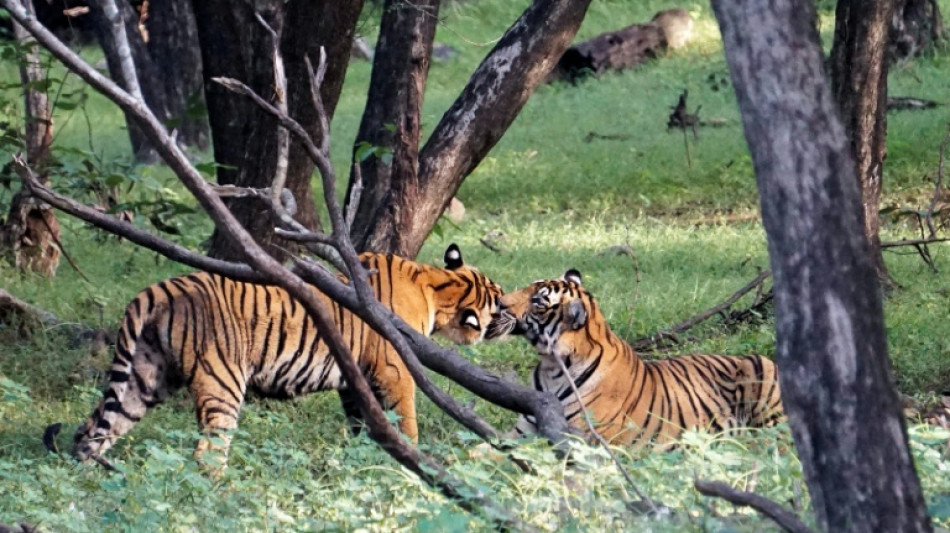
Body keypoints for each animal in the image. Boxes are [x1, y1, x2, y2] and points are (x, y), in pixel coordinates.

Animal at [74, 243, 502, 467]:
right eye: (498, 301)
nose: (511, 316)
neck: (436, 285)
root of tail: (160, 289)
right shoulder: (393, 369)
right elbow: (405, 418)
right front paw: (412, 459)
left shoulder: (354, 379)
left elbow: (363, 424)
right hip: (222, 381)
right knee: (208, 451)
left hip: (143, 377)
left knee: (93, 428)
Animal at [486, 269, 784, 449]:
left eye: (538, 301)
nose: (499, 302)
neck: (551, 367)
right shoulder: (520, 433)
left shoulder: (584, 441)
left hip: (762, 374)